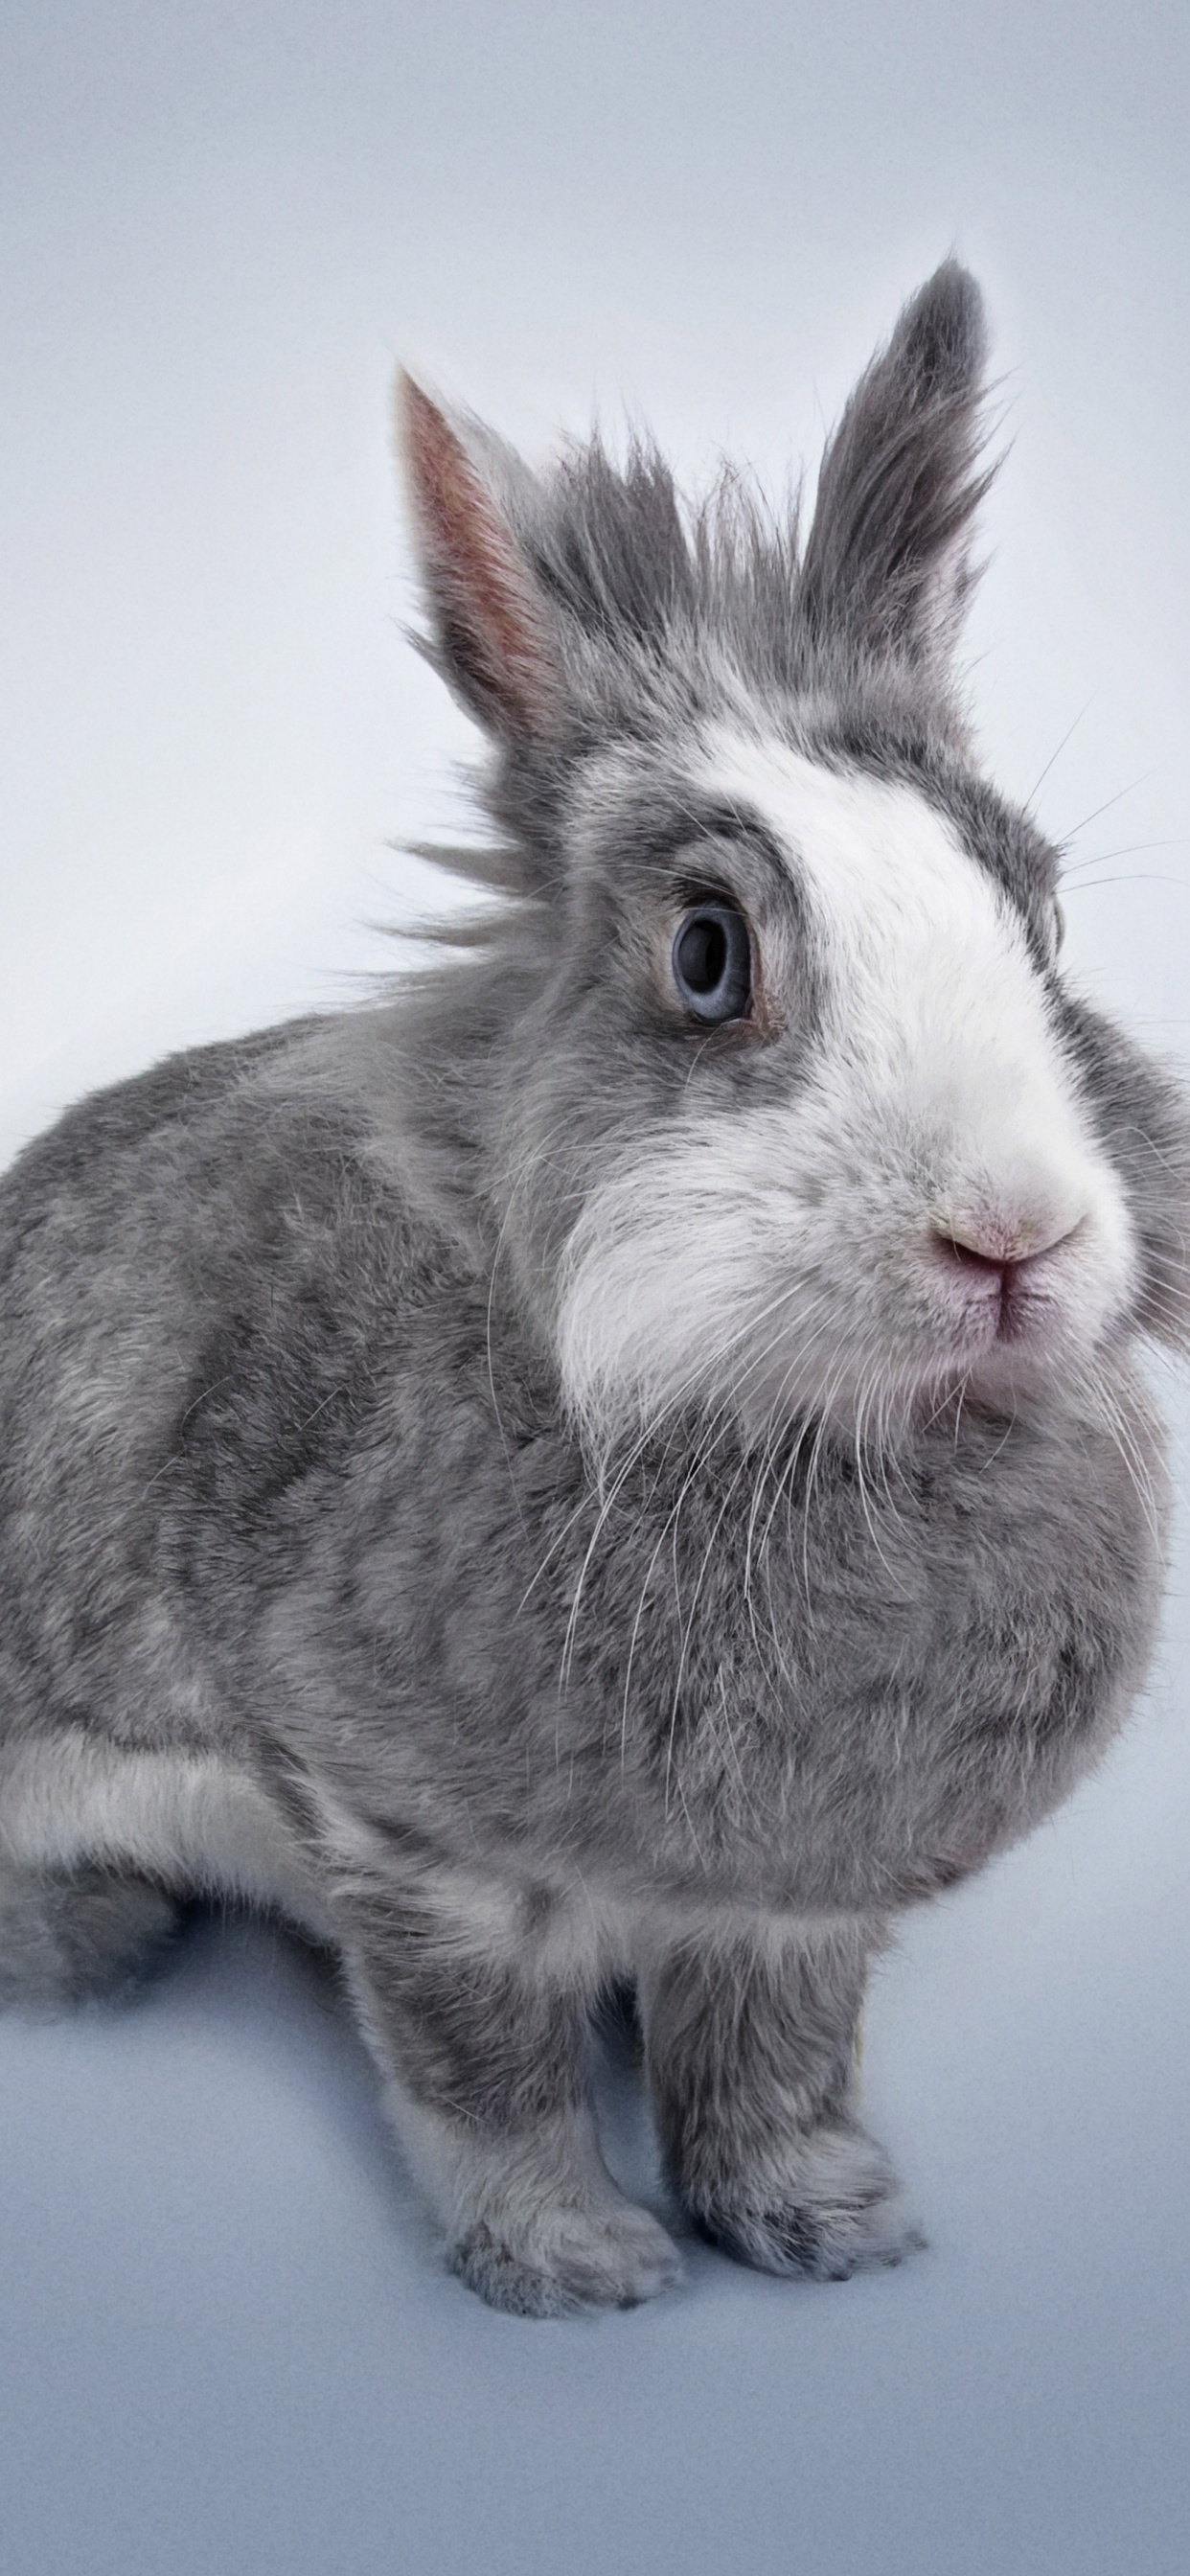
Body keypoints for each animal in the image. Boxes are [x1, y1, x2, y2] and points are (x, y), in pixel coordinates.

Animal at [1, 261, 1187, 2319]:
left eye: (1038, 916)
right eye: (706, 955)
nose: (1014, 1235)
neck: (791, 1433)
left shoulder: (788, 1909)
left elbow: (775, 2062)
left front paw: (828, 2225)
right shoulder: (403, 1845)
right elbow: (480, 2068)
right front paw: (576, 2265)